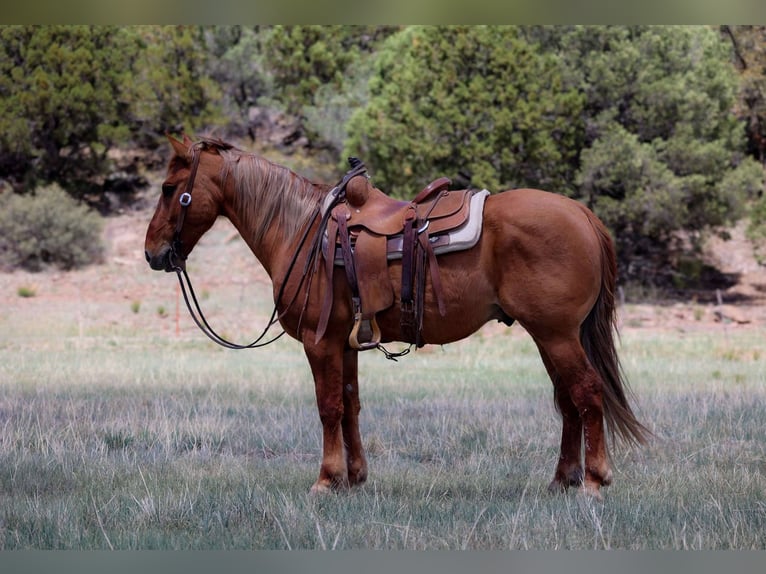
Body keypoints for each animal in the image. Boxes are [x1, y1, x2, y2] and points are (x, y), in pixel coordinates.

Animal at [144, 134, 649, 500]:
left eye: (170, 190)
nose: (152, 253)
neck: (301, 230)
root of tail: (582, 214)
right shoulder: (343, 344)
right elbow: (350, 405)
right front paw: (354, 477)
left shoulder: (319, 343)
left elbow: (328, 407)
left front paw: (326, 479)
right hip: (551, 337)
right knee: (568, 401)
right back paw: (562, 478)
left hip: (557, 335)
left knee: (587, 393)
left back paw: (594, 481)